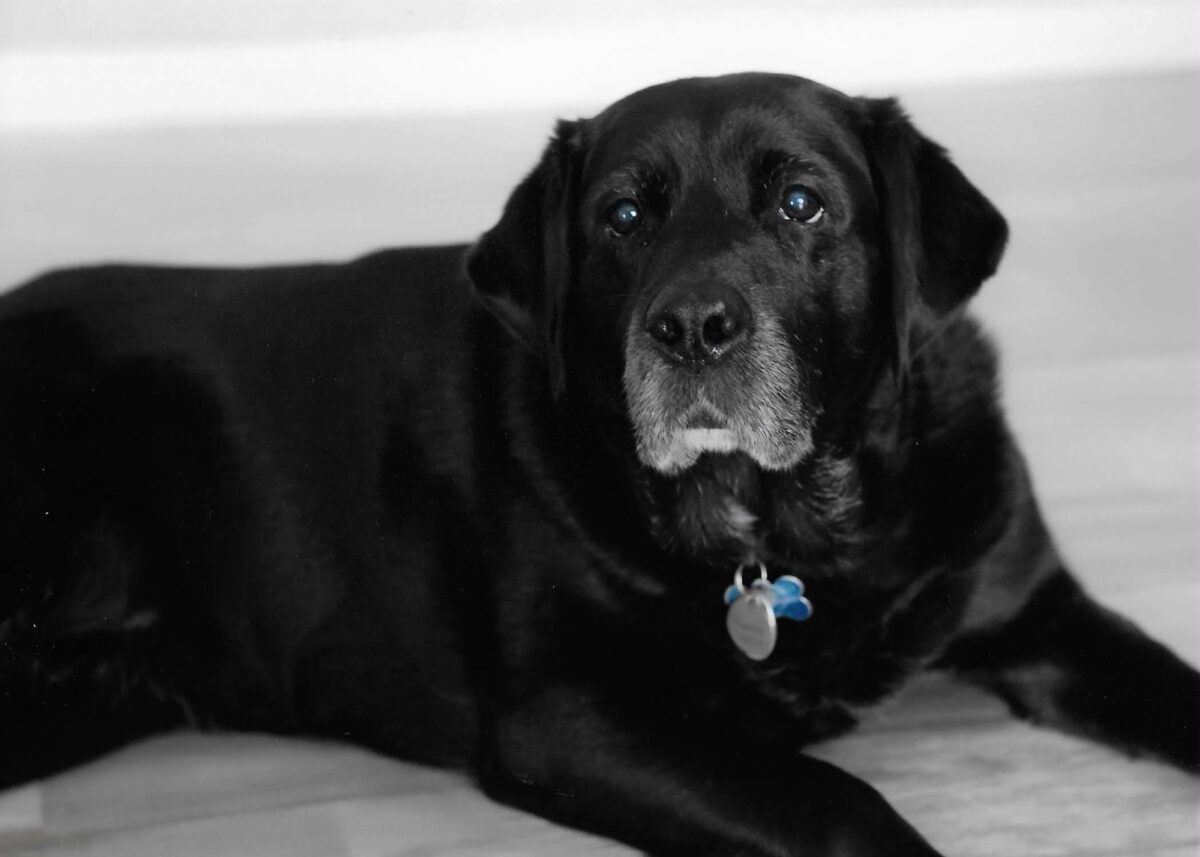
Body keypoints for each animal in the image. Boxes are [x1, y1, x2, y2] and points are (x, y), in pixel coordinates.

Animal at [1, 72, 1196, 856]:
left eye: (801, 201)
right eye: (622, 215)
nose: (694, 327)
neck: (789, 527)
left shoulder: (1039, 611)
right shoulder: (572, 715)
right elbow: (840, 803)